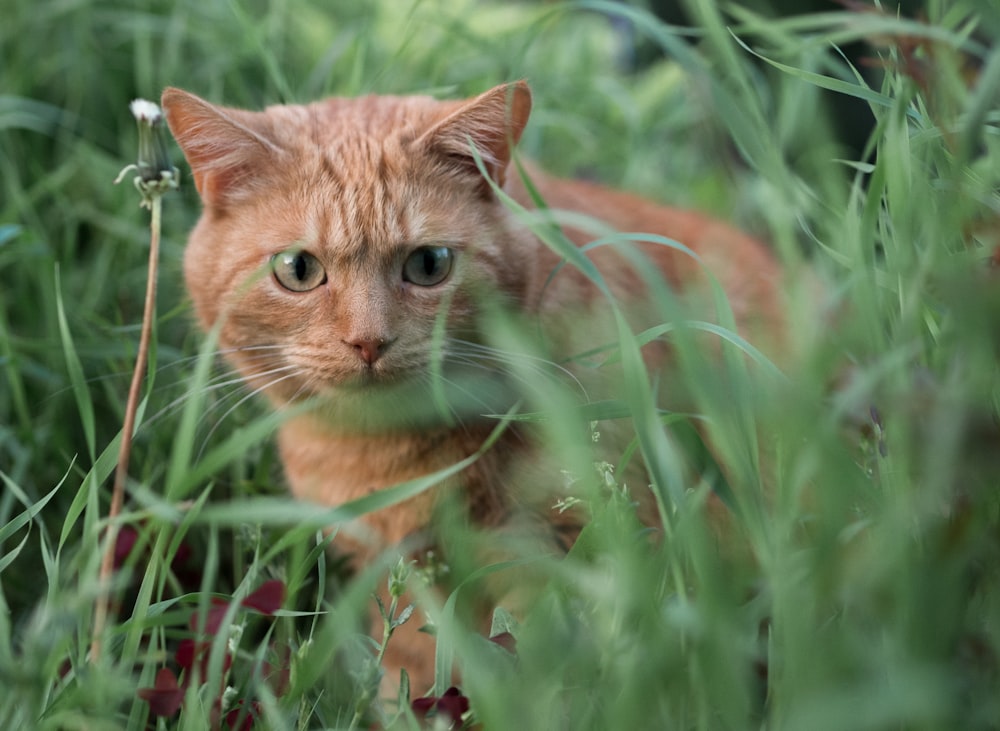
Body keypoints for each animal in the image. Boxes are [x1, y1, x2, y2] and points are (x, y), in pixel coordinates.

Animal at [162, 80, 780, 692]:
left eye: (429, 264)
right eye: (297, 269)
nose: (368, 342)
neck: (386, 460)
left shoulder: (570, 556)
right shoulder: (403, 578)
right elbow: (412, 675)